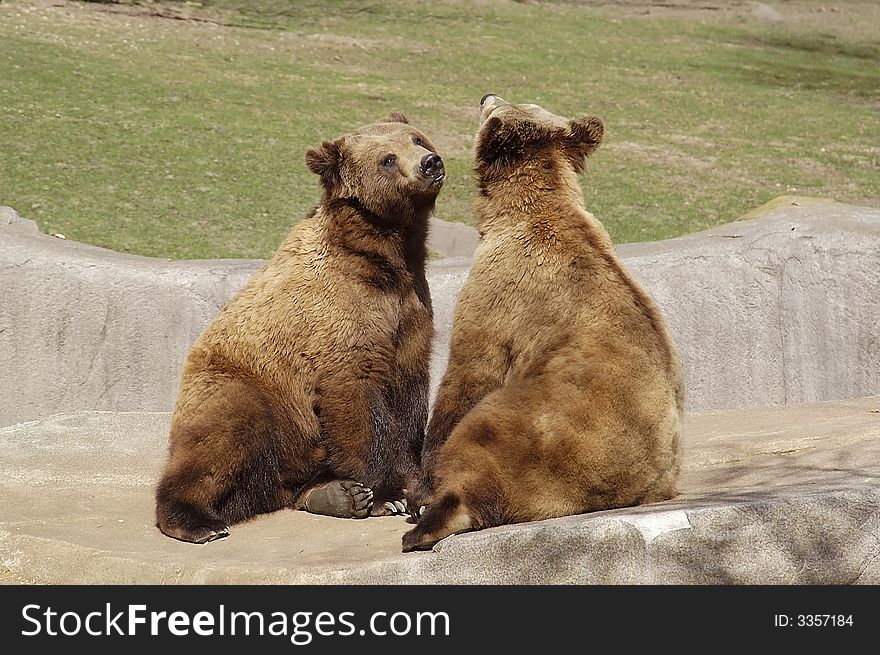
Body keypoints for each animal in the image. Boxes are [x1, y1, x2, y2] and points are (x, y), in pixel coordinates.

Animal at [153, 111, 446, 544]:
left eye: (417, 139)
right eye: (387, 159)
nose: (431, 162)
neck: (384, 257)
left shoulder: (410, 312)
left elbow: (410, 394)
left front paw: (412, 486)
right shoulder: (340, 318)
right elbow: (356, 396)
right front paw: (386, 495)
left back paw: (333, 493)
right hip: (247, 390)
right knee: (221, 439)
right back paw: (198, 521)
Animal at [402, 95, 684, 552]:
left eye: (497, 105)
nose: (485, 96)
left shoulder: (500, 293)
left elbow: (468, 372)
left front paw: (420, 488)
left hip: (544, 431)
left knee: (482, 436)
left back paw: (426, 523)